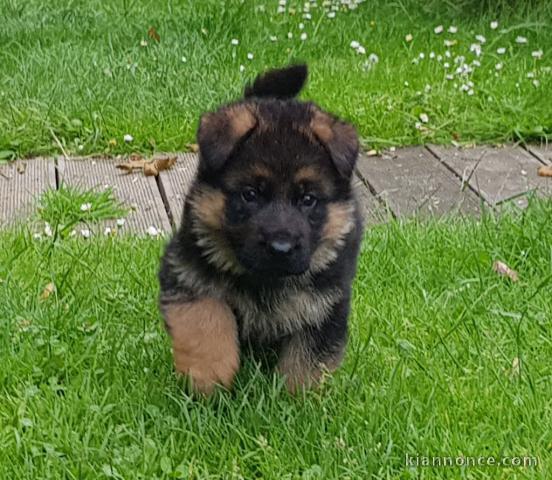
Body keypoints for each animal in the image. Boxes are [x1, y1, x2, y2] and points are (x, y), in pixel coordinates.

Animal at [157, 63, 364, 394]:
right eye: (250, 194)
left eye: (308, 199)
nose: (281, 248)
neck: (265, 281)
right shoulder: (187, 274)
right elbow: (206, 322)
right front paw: (209, 380)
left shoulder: (326, 305)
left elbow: (306, 362)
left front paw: (298, 401)